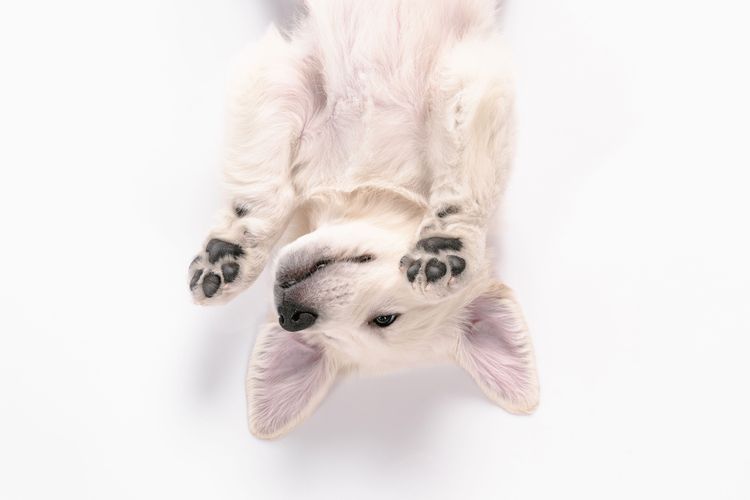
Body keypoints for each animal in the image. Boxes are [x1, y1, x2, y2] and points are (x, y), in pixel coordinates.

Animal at [188, 0, 540, 438]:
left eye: (382, 319)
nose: (291, 315)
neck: (371, 175)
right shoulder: (287, 81)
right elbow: (263, 186)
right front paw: (229, 253)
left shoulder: (467, 75)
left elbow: (468, 180)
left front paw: (445, 246)